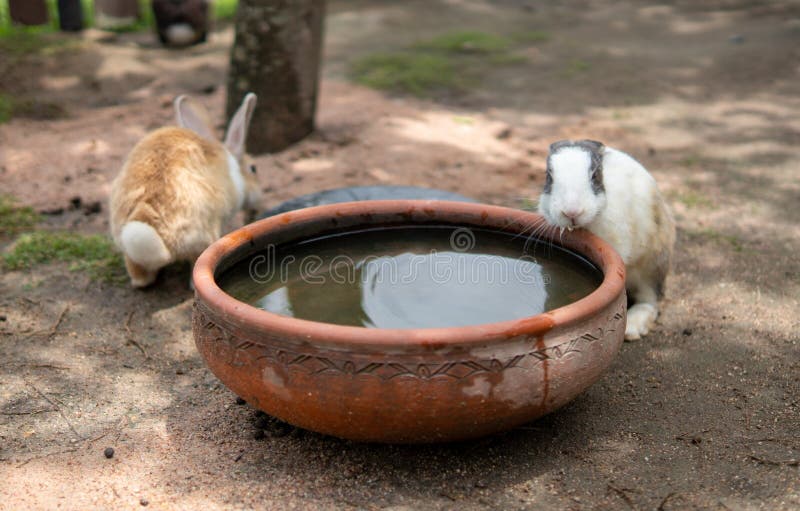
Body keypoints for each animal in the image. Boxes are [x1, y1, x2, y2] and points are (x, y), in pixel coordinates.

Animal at [537, 139, 676, 340]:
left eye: (595, 176)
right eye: (548, 176)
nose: (572, 212)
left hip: (653, 264)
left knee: (650, 300)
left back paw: (632, 328)